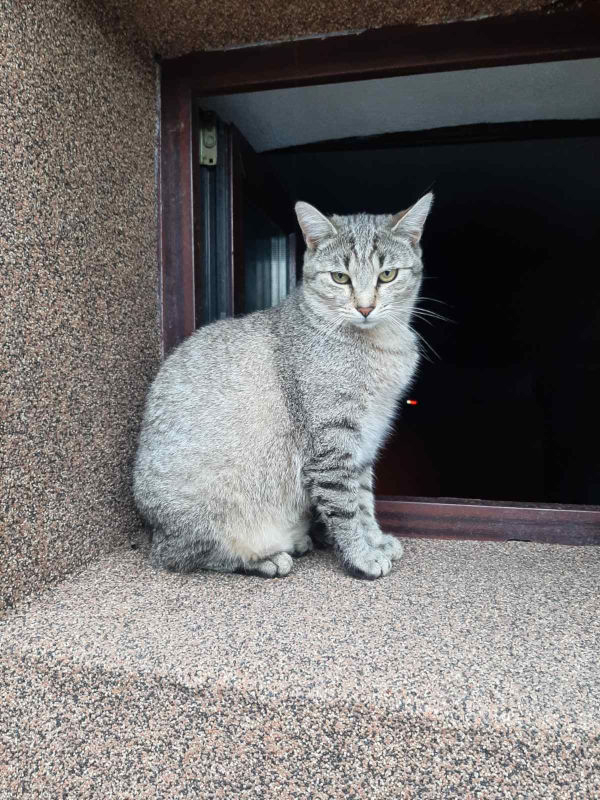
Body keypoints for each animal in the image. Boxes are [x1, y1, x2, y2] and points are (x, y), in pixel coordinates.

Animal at [132, 194, 432, 580]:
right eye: (340, 278)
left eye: (387, 275)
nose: (365, 308)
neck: (378, 346)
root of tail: (153, 531)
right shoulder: (333, 445)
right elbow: (347, 508)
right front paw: (362, 556)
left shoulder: (365, 440)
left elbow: (364, 502)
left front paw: (375, 541)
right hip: (201, 519)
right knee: (182, 555)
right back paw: (267, 559)